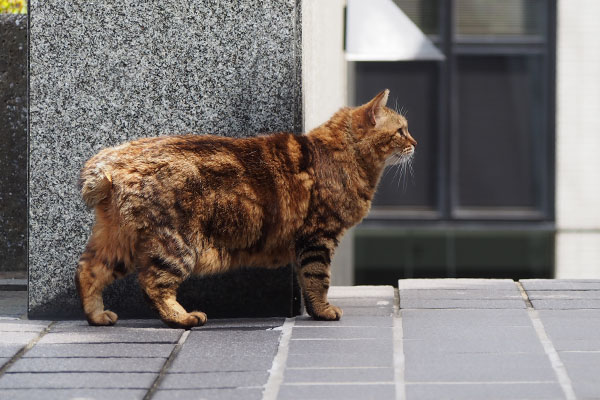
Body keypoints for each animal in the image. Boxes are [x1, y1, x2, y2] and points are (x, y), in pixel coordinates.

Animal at [76, 89, 418, 326]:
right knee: (153, 284)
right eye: (401, 130)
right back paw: (183, 318)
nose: (415, 143)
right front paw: (323, 311)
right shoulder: (319, 237)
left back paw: (97, 317)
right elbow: (318, 278)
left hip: (117, 242)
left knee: (87, 271)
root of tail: (108, 162)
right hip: (177, 245)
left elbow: (307, 281)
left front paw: (314, 312)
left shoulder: (306, 242)